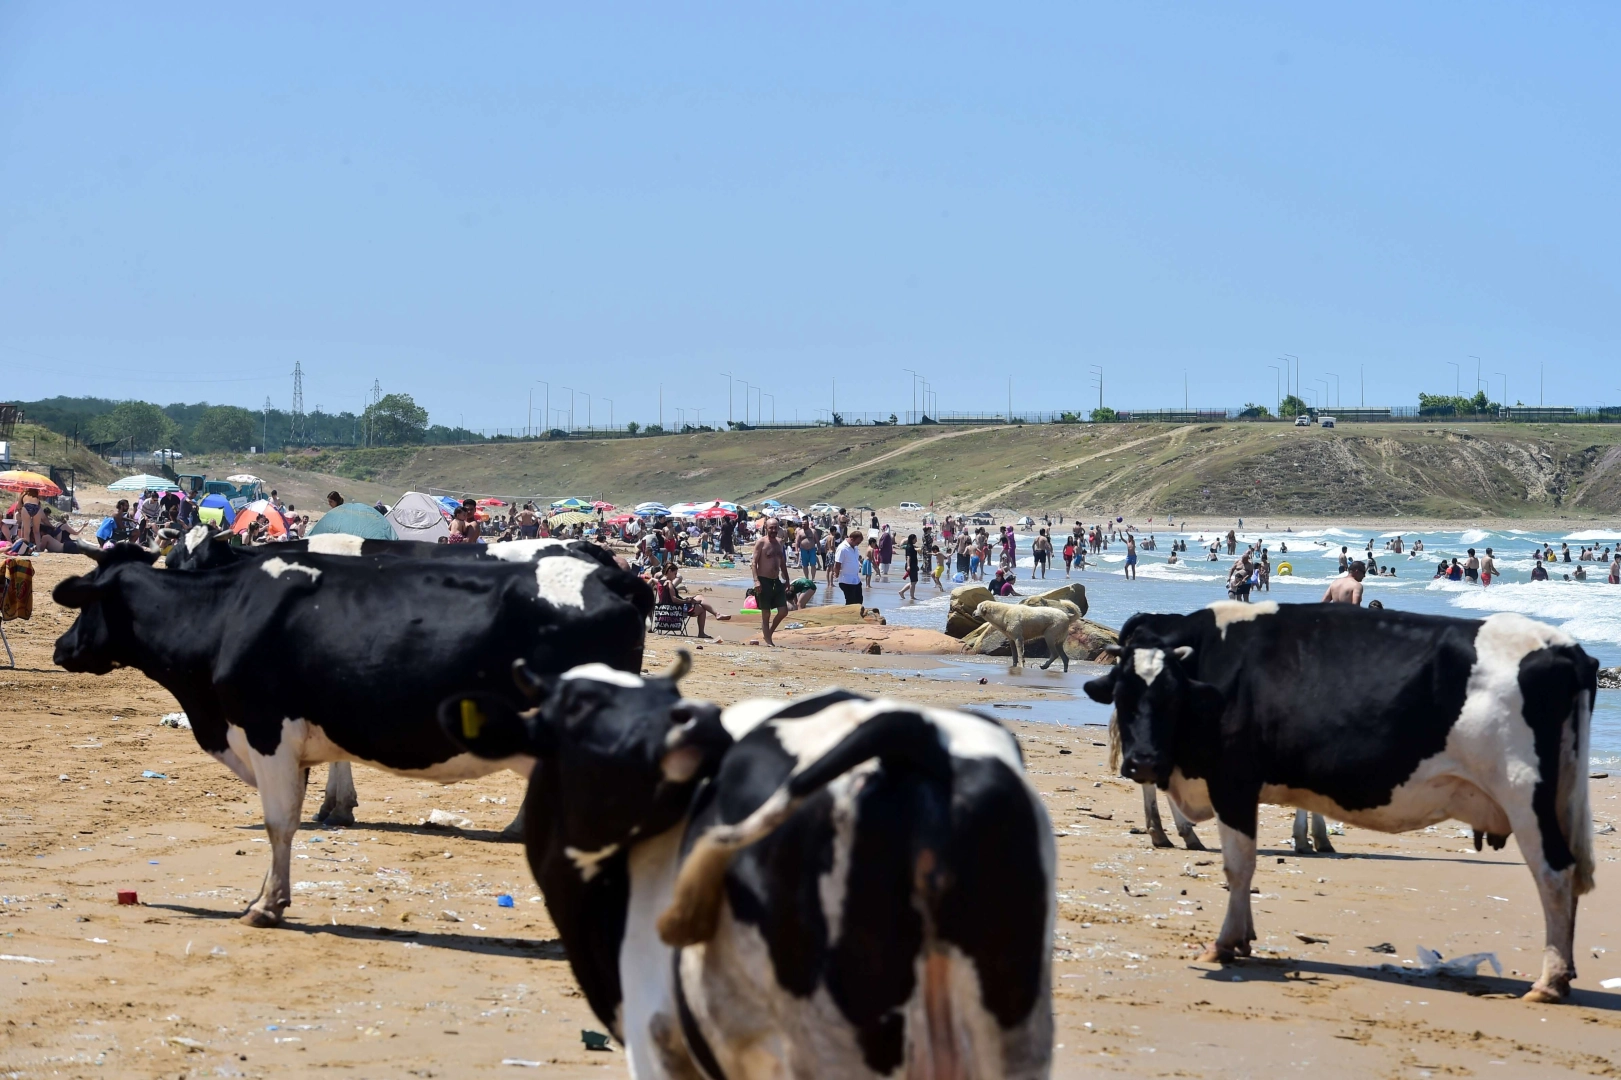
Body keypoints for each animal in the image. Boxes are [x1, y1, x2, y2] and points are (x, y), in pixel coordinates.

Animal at [57, 548, 651, 927]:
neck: (228, 614)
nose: (61, 648)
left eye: (86, 604)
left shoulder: (267, 732)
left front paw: (266, 906)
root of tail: (610, 577)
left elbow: (278, 824)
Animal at [437, 651, 1056, 1070]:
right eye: (580, 703)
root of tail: (916, 732)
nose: (697, 717)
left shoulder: (656, 1041)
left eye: (666, 695)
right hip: (1010, 1026)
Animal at [1082, 596, 1601, 998]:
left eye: (1171, 697)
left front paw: (1226, 942)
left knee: (1555, 873)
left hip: (1526, 794)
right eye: (1122, 695)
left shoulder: (1233, 781)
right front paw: (1243, 935)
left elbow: (1238, 866)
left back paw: (1550, 981)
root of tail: (1565, 648)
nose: (1144, 761)